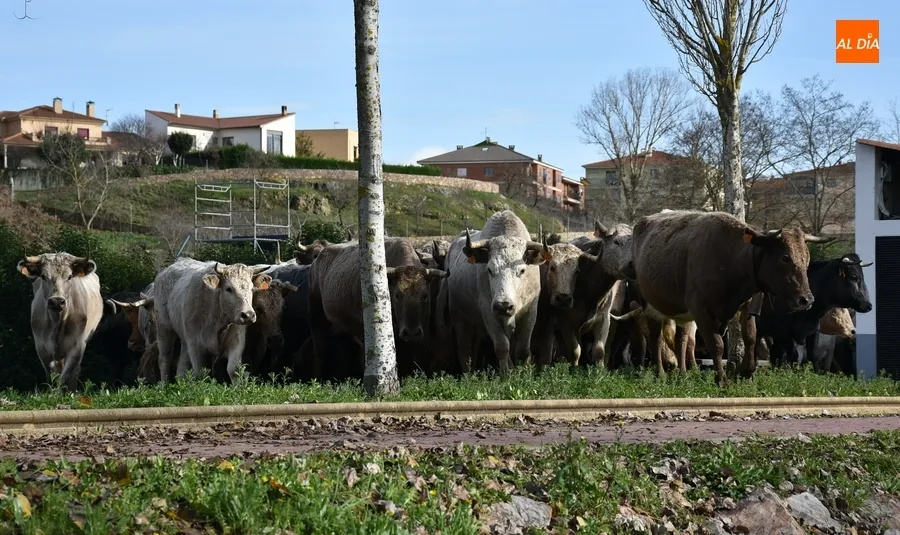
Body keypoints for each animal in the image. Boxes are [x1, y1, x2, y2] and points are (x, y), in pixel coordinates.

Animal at [17, 252, 103, 391]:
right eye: (43, 276)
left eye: (69, 276)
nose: (57, 301)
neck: (57, 324)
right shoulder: (42, 348)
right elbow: (51, 375)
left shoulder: (77, 347)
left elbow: (64, 376)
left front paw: (59, 393)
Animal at [442, 210, 548, 375]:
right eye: (490, 270)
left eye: (522, 270)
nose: (503, 306)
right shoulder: (488, 311)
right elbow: (502, 346)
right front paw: (506, 374)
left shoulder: (531, 310)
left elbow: (522, 350)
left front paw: (523, 373)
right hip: (459, 318)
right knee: (464, 350)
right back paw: (468, 375)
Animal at [631, 209, 830, 387]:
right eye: (785, 257)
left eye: (807, 258)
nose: (807, 300)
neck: (730, 258)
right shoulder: (701, 311)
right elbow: (717, 344)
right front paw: (721, 379)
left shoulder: (747, 306)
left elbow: (750, 337)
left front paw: (746, 372)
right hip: (651, 307)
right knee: (656, 339)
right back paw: (661, 374)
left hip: (682, 315)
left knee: (681, 340)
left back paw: (683, 374)